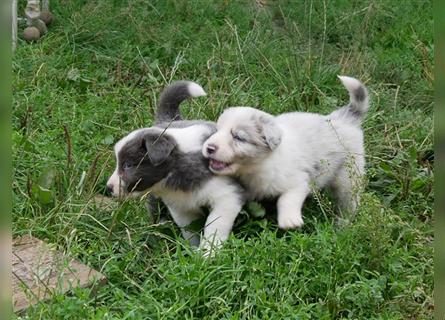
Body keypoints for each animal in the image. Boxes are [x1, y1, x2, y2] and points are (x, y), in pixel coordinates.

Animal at [106, 80, 245, 252]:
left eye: (128, 165)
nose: (108, 188)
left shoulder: (226, 197)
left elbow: (214, 230)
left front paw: (208, 254)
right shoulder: (181, 208)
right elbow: (190, 232)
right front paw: (191, 251)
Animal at [201, 76, 368, 229]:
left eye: (238, 137)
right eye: (216, 130)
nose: (209, 148)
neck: (259, 166)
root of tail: (344, 118)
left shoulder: (298, 181)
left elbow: (287, 198)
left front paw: (289, 221)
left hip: (348, 177)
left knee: (349, 202)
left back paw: (343, 224)